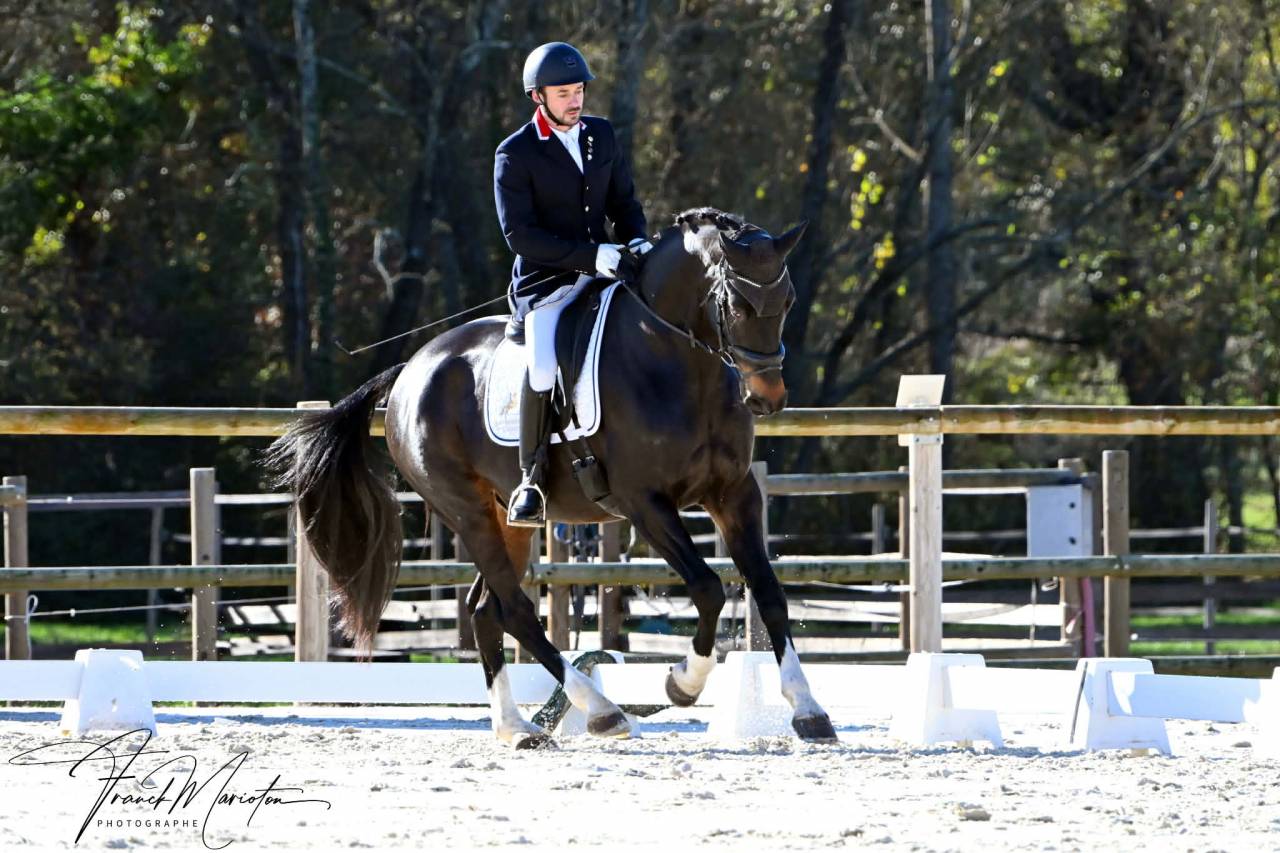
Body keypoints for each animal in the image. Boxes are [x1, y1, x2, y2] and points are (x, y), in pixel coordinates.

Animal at [265, 207, 837, 748]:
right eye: (737, 305)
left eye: (787, 301)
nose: (767, 398)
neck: (679, 363)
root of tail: (410, 369)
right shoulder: (644, 503)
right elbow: (708, 588)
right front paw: (682, 683)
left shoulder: (735, 494)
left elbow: (769, 592)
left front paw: (808, 710)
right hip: (465, 510)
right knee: (515, 610)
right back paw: (602, 711)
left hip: (508, 519)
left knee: (484, 610)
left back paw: (517, 728)